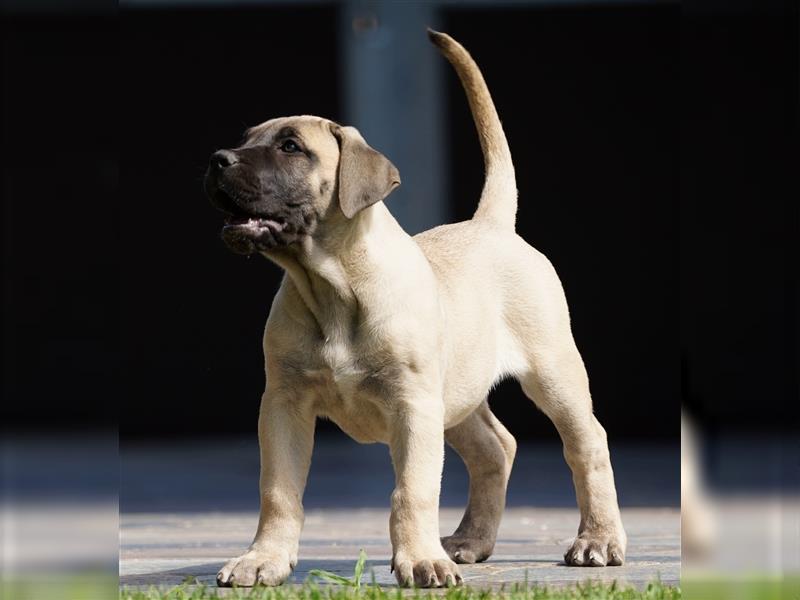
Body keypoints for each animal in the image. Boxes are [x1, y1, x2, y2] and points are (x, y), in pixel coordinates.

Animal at [205, 30, 624, 588]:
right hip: (456, 393)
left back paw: (597, 540)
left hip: (551, 372)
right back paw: (470, 540)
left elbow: (413, 491)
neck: (332, 286)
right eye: (247, 138)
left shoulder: (413, 407)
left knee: (587, 443)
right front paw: (263, 559)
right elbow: (278, 492)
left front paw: (421, 561)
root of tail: (491, 225)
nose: (218, 159)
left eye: (291, 147)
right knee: (495, 447)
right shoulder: (283, 403)